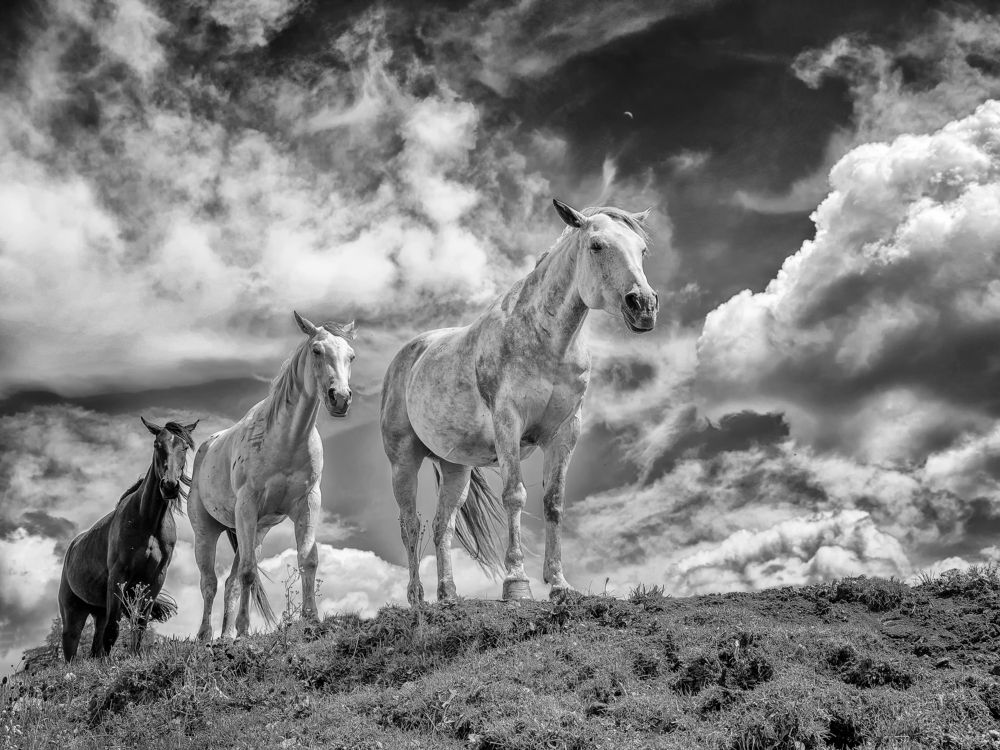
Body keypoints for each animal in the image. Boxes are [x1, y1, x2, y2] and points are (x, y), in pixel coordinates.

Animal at [58, 417, 198, 660]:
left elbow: (140, 624)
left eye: (185, 447)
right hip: (73, 614)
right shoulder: (118, 576)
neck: (148, 522)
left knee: (95, 645)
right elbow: (113, 630)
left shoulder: (156, 578)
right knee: (72, 648)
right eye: (157, 445)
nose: (169, 485)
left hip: (99, 611)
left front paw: (135, 656)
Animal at [187, 311, 356, 640]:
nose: (340, 398)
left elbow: (307, 560)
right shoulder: (247, 506)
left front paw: (311, 619)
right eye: (317, 350)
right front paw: (243, 632)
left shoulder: (307, 504)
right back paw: (205, 636)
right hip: (207, 530)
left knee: (229, 583)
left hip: (254, 530)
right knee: (209, 582)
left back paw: (224, 636)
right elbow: (249, 572)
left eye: (351, 356)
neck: (285, 440)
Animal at [380, 199, 658, 604]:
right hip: (404, 460)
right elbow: (515, 496)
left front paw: (559, 584)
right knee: (409, 523)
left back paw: (448, 595)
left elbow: (553, 502)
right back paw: (417, 598)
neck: (547, 343)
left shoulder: (564, 433)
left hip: (455, 468)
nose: (644, 306)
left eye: (642, 250)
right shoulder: (509, 423)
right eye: (596, 246)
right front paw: (516, 583)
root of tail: (409, 354)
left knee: (442, 526)